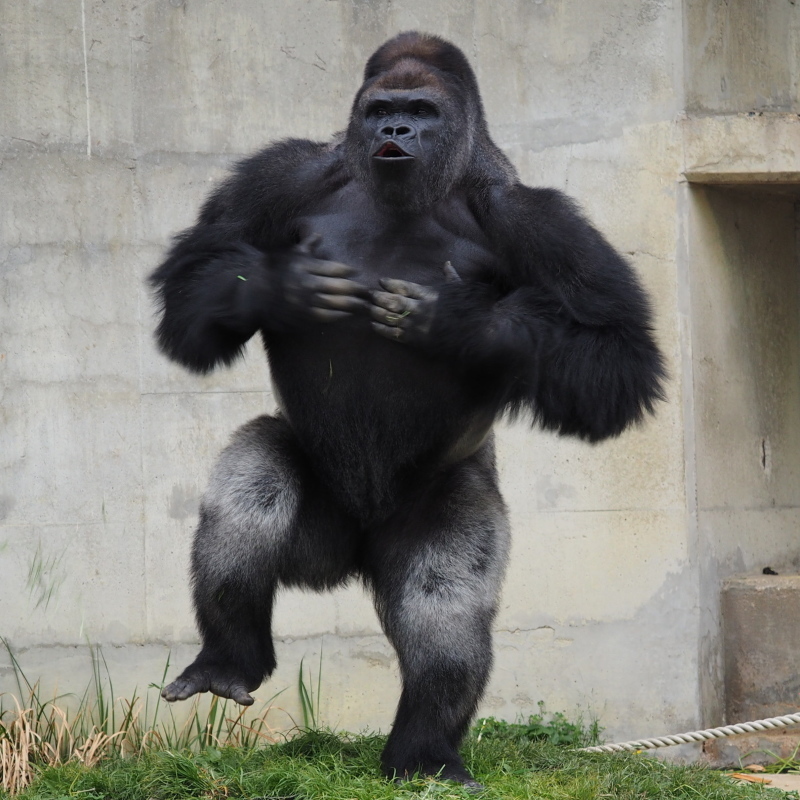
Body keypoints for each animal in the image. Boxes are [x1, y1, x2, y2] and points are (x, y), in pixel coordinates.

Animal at [148, 32, 664, 788]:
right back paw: (229, 654)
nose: (395, 130)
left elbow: (617, 356)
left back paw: (423, 751)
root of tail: (350, 563)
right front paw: (277, 286)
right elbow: (194, 287)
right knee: (254, 479)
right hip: (316, 541)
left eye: (421, 111)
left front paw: (464, 323)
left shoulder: (538, 219)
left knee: (442, 603)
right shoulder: (278, 174)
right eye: (383, 110)